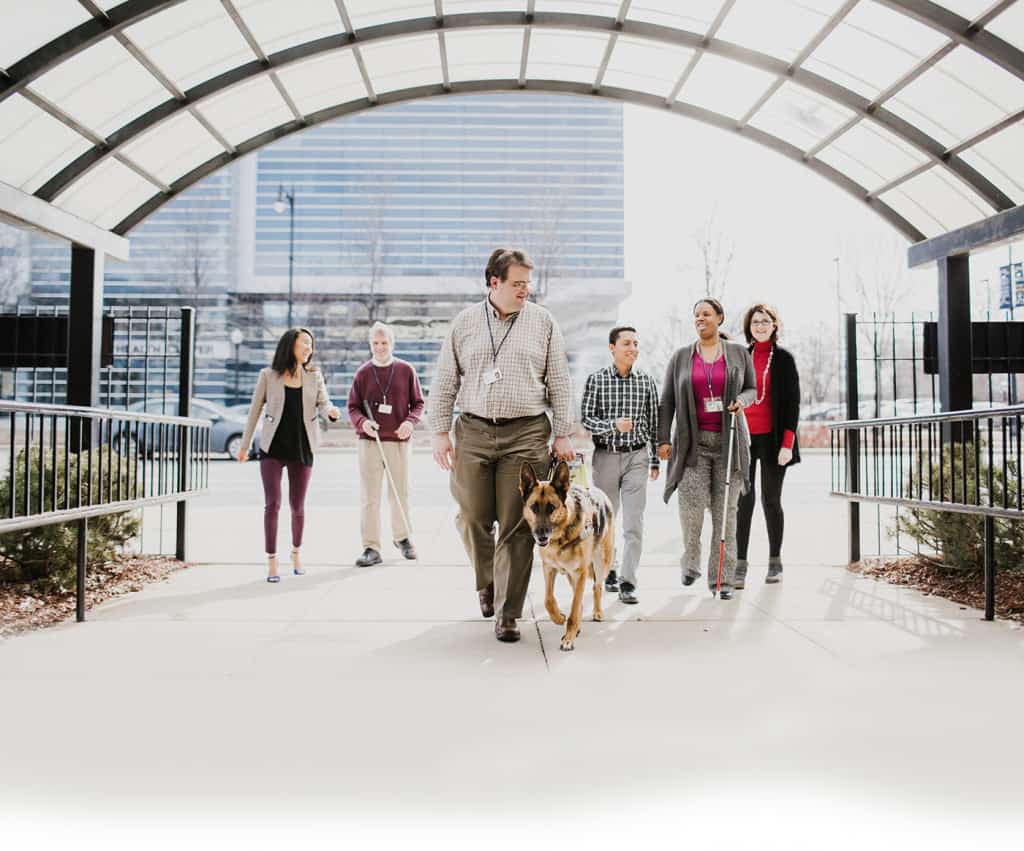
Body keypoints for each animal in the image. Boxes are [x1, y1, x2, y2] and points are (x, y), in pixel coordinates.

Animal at [516, 458, 610, 651]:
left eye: (551, 508)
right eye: (533, 508)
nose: (541, 536)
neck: (561, 537)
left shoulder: (580, 573)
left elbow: (574, 609)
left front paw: (569, 638)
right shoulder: (549, 569)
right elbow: (548, 600)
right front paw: (559, 618)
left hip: (601, 563)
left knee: (596, 587)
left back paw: (597, 612)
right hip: (572, 576)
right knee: (579, 597)